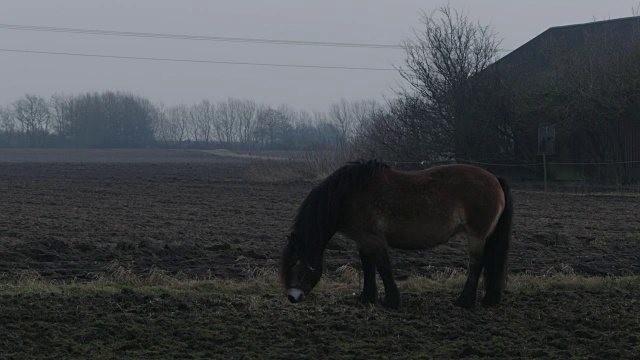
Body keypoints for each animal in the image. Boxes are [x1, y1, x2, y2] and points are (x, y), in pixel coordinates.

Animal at [282, 160, 512, 310]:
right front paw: (367, 298)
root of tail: (494, 177)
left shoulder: (375, 239)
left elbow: (383, 268)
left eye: (295, 264)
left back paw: (465, 301)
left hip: (476, 235)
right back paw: (488, 299)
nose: (292, 297)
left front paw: (391, 301)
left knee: (476, 264)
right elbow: (368, 267)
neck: (349, 196)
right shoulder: (363, 240)